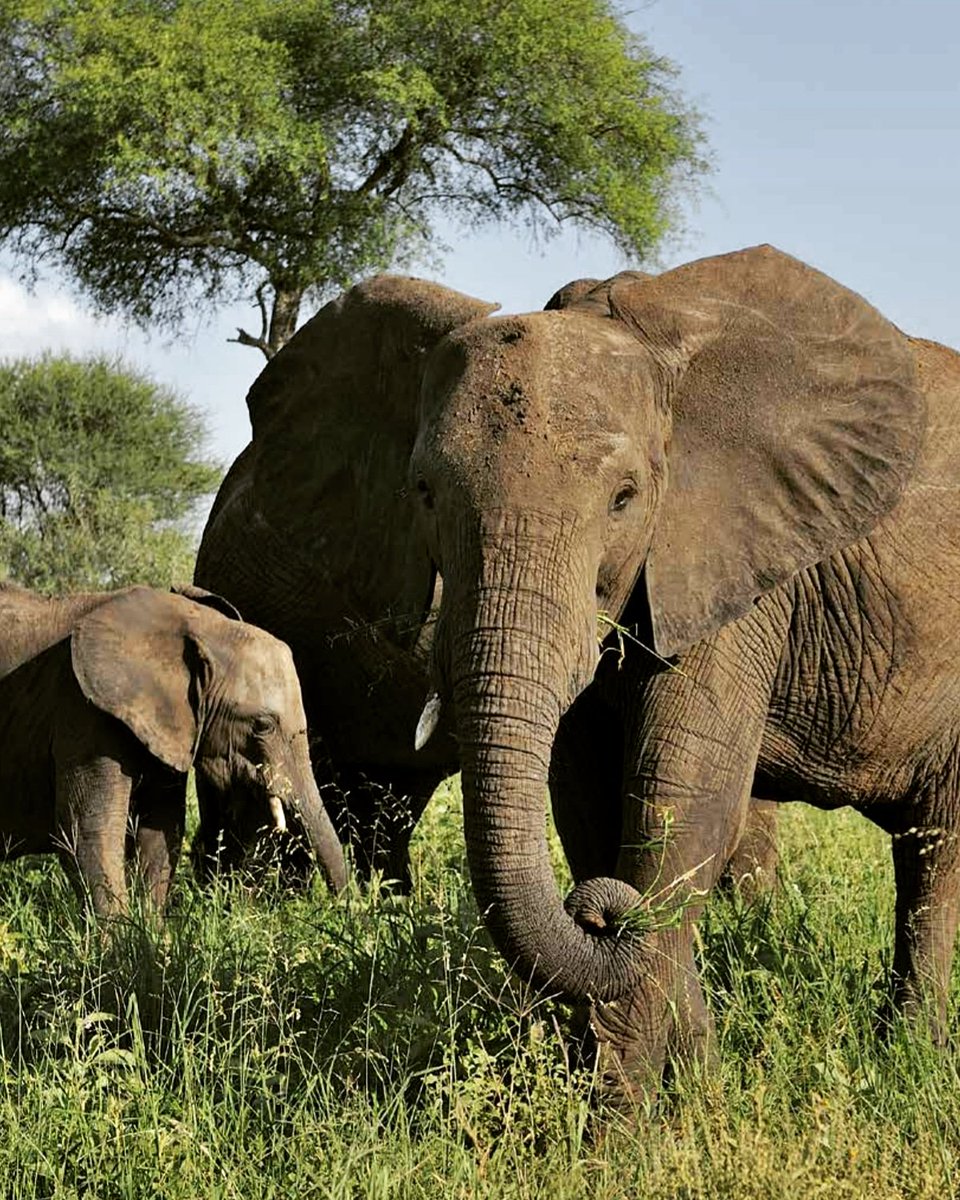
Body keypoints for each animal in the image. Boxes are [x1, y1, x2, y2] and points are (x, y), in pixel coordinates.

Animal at [0, 582, 347, 915]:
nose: (342, 910)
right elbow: (86, 833)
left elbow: (161, 829)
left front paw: (152, 930)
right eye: (263, 725)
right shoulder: (83, 713)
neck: (194, 624)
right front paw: (124, 938)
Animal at [198, 244, 960, 1102]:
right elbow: (591, 802)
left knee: (935, 854)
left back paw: (912, 1064)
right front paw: (682, 1086)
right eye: (422, 492)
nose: (597, 916)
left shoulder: (729, 561)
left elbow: (679, 800)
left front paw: (630, 1115)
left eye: (625, 498)